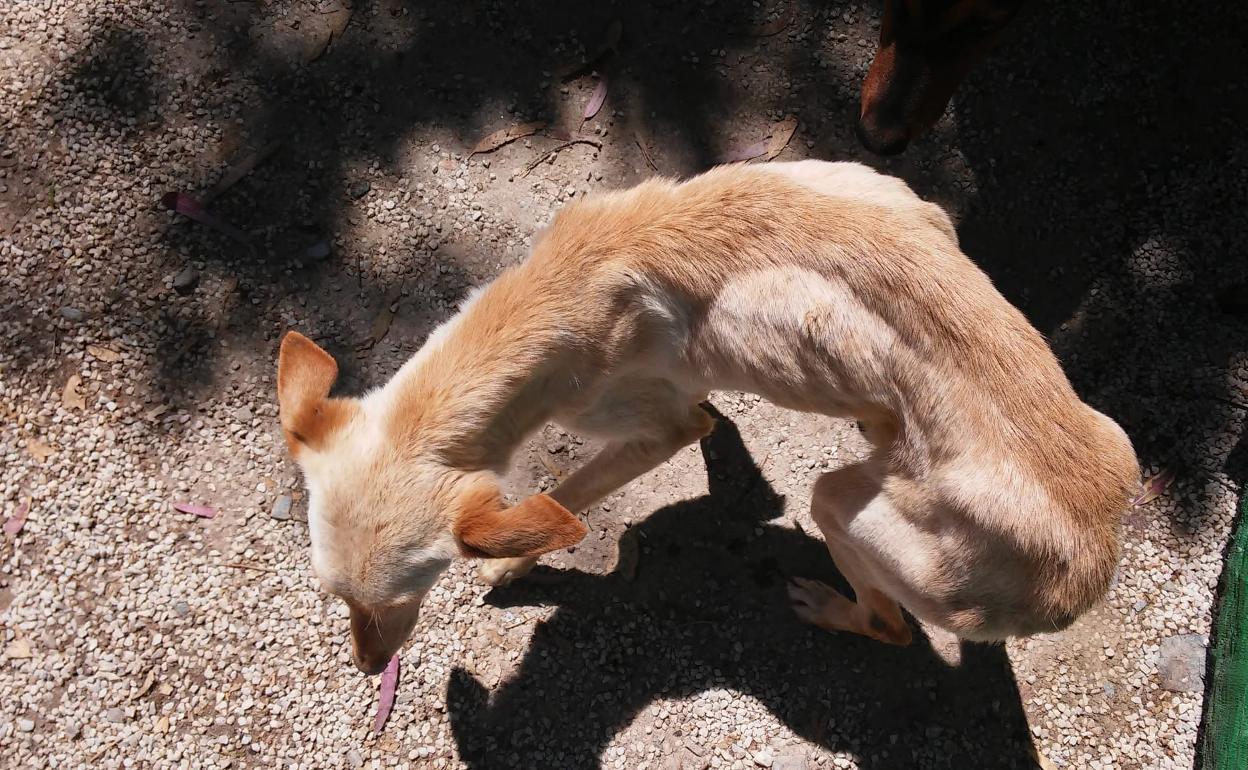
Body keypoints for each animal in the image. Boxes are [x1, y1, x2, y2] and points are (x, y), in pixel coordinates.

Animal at [275, 159, 1143, 668]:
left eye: (401, 595)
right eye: (333, 596)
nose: (366, 666)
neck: (559, 286)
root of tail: (1093, 565)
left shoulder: (651, 428)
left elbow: (571, 493)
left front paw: (512, 563)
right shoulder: (888, 192)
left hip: (849, 509)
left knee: (893, 624)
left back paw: (831, 606)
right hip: (1112, 434)